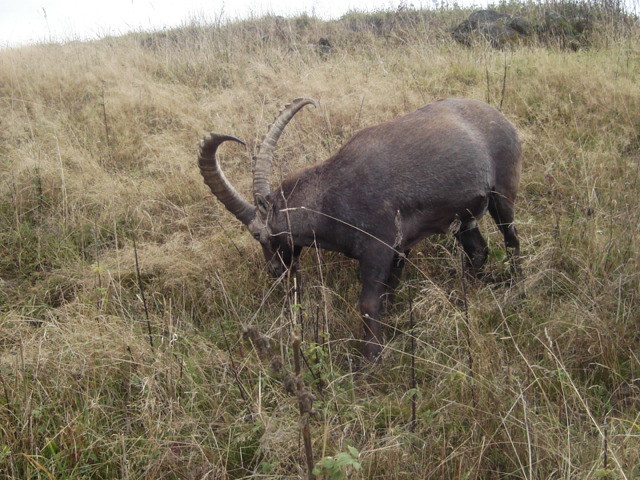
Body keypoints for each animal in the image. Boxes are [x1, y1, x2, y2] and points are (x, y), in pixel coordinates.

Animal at [199, 97, 520, 360]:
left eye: (258, 235)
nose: (276, 271)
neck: (331, 195)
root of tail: (499, 116)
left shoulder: (378, 249)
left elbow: (368, 304)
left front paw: (369, 361)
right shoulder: (399, 250)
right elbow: (387, 295)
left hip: (502, 194)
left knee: (511, 240)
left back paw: (517, 287)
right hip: (464, 218)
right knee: (478, 251)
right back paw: (470, 295)